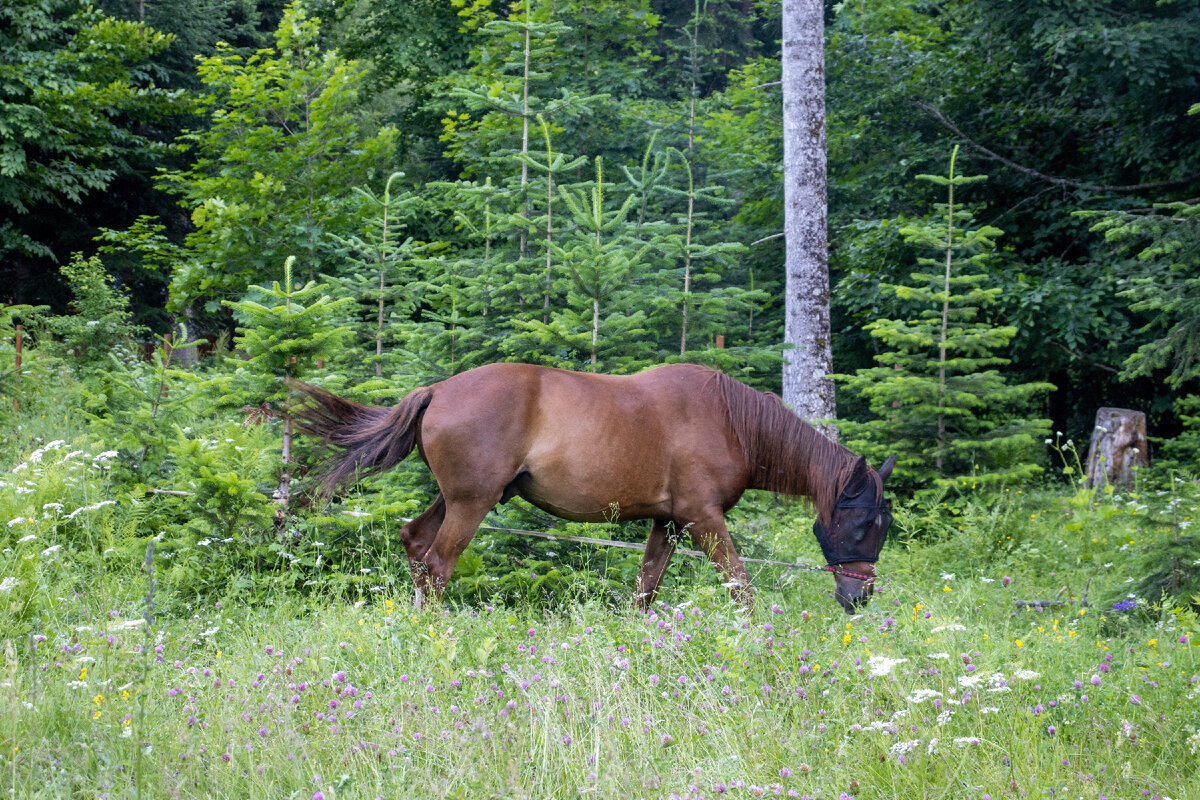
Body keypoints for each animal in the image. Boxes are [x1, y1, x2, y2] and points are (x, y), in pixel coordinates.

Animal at [288, 362, 892, 614]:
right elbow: (741, 586)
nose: (859, 596)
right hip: (471, 504)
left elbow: (646, 589)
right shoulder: (703, 519)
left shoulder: (668, 523)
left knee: (415, 544)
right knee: (438, 563)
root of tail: (437, 390)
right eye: (865, 522)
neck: (728, 420)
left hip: (464, 498)